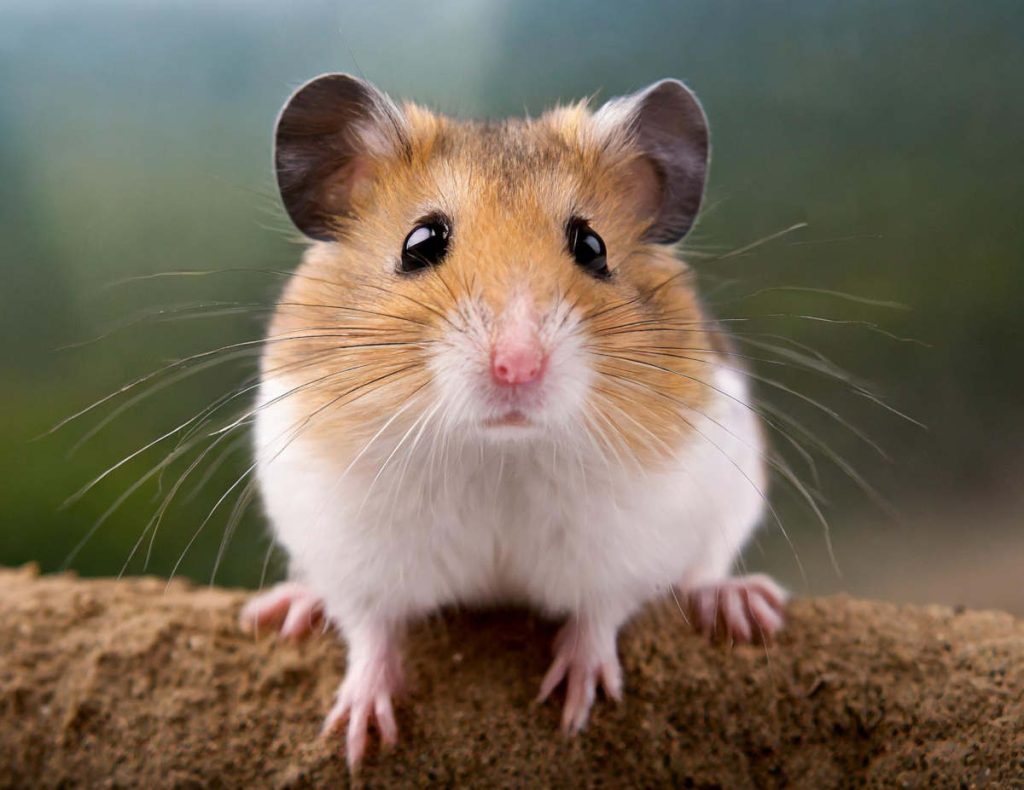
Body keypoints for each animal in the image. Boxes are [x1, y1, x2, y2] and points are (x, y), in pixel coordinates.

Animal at [239, 73, 786, 768]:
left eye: (592, 246)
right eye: (420, 243)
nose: (517, 367)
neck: (498, 454)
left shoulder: (632, 541)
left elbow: (600, 614)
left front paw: (576, 708)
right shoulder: (348, 547)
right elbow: (369, 630)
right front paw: (358, 739)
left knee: (703, 572)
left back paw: (741, 605)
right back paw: (284, 610)